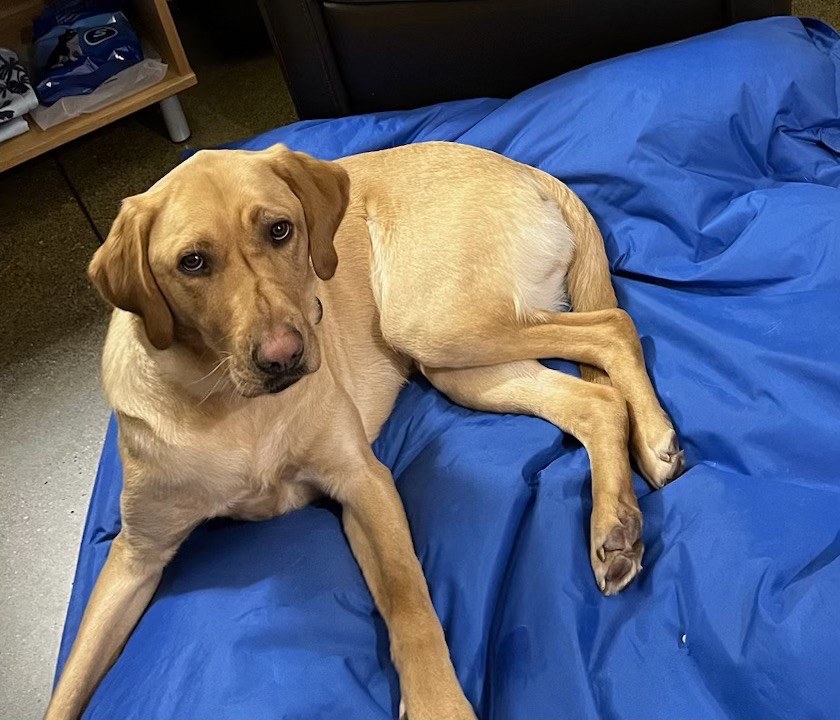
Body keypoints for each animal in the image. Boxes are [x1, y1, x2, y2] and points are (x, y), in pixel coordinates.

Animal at [44, 142, 684, 720]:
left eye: (281, 230)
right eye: (192, 263)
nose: (285, 356)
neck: (233, 406)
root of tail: (523, 166)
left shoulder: (364, 482)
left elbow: (410, 603)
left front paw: (438, 707)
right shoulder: (136, 556)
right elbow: (68, 686)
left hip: (434, 323)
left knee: (612, 325)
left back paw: (654, 441)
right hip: (458, 367)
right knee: (597, 400)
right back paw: (615, 524)